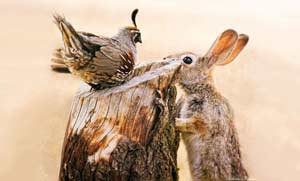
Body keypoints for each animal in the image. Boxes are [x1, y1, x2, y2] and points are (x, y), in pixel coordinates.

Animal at [164, 29, 248, 181]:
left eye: (187, 60)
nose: (165, 58)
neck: (201, 89)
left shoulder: (204, 119)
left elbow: (190, 124)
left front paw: (173, 119)